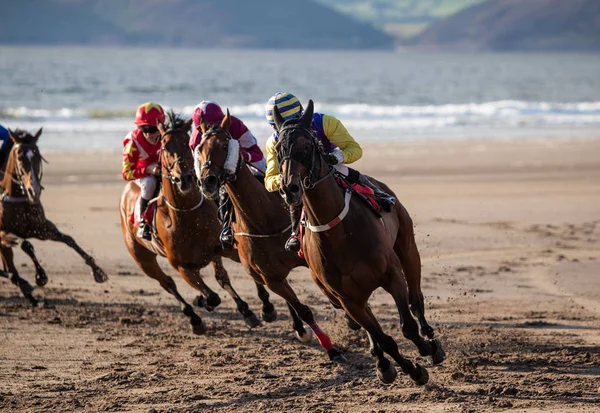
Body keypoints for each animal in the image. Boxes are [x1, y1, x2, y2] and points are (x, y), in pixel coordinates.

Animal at [0, 127, 108, 304]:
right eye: (19, 157)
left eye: (37, 155)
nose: (34, 190)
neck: (17, 198)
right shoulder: (3, 233)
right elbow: (25, 244)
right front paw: (40, 276)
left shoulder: (41, 228)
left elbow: (68, 239)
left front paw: (98, 271)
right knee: (11, 268)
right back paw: (24, 285)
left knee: (10, 268)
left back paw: (31, 296)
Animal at [118, 111, 272, 334]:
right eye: (165, 147)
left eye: (187, 143)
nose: (185, 178)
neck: (188, 215)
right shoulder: (182, 266)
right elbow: (212, 296)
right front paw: (202, 302)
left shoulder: (224, 247)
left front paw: (262, 308)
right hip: (142, 258)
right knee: (167, 283)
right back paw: (194, 318)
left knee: (220, 278)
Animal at [190, 112, 344, 360]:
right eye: (199, 149)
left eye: (224, 145)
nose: (208, 181)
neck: (263, 220)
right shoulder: (270, 276)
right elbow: (303, 310)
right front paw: (329, 347)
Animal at [272, 101, 446, 384]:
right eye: (278, 149)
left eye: (307, 145)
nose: (290, 188)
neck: (339, 234)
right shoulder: (347, 299)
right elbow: (383, 338)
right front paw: (411, 370)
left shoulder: (391, 274)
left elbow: (407, 325)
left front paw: (425, 348)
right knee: (373, 326)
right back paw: (384, 363)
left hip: (407, 246)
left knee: (416, 298)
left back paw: (430, 339)